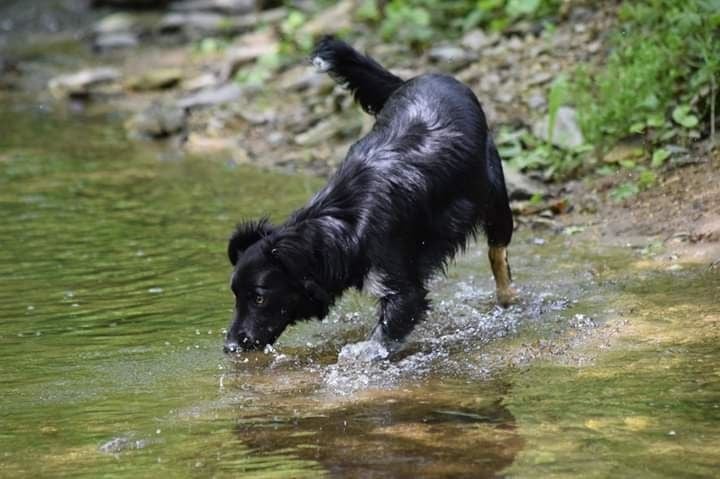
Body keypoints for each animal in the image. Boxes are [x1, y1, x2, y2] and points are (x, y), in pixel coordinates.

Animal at [224, 36, 512, 352]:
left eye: (259, 298)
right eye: (235, 295)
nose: (230, 347)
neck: (341, 224)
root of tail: (420, 77)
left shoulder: (402, 288)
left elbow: (383, 334)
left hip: (494, 195)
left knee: (497, 252)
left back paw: (507, 297)